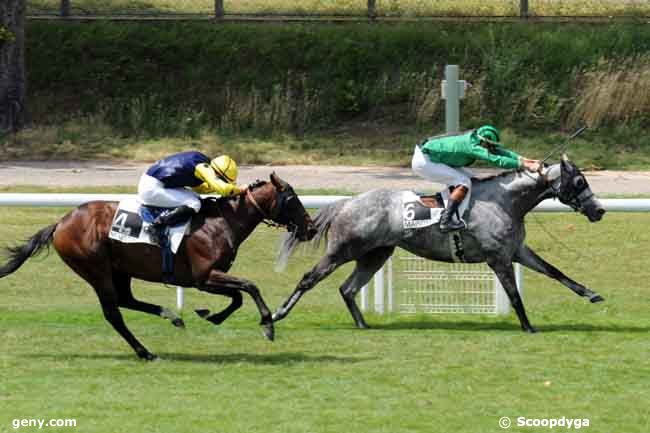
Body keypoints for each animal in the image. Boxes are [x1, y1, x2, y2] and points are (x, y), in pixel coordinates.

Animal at [0, 172, 316, 358]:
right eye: (292, 198)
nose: (311, 228)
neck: (221, 222)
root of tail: (60, 223)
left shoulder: (206, 279)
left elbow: (238, 296)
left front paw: (210, 315)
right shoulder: (204, 276)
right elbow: (249, 287)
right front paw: (267, 324)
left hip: (119, 269)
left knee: (126, 300)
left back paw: (172, 316)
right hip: (96, 269)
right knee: (113, 312)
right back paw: (145, 351)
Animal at [272, 156, 604, 330]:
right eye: (579, 182)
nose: (599, 210)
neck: (505, 201)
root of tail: (346, 203)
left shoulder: (517, 251)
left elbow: (555, 271)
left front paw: (592, 294)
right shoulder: (498, 258)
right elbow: (513, 294)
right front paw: (528, 327)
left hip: (375, 254)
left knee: (348, 288)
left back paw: (363, 324)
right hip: (342, 251)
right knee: (309, 278)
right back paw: (278, 314)